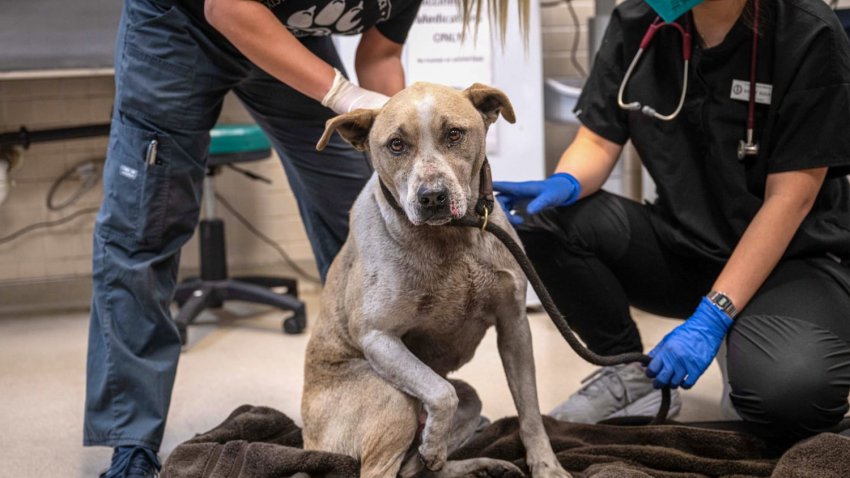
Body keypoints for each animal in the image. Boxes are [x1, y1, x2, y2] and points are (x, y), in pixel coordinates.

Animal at [302, 83, 568, 478]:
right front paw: (433, 440)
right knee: (389, 466)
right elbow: (441, 392)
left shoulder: (514, 326)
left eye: (454, 134)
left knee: (417, 468)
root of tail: (307, 442)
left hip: (472, 401)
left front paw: (546, 466)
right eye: (396, 144)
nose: (432, 197)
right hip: (391, 396)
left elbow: (530, 410)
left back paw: (483, 465)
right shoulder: (378, 338)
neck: (452, 237)